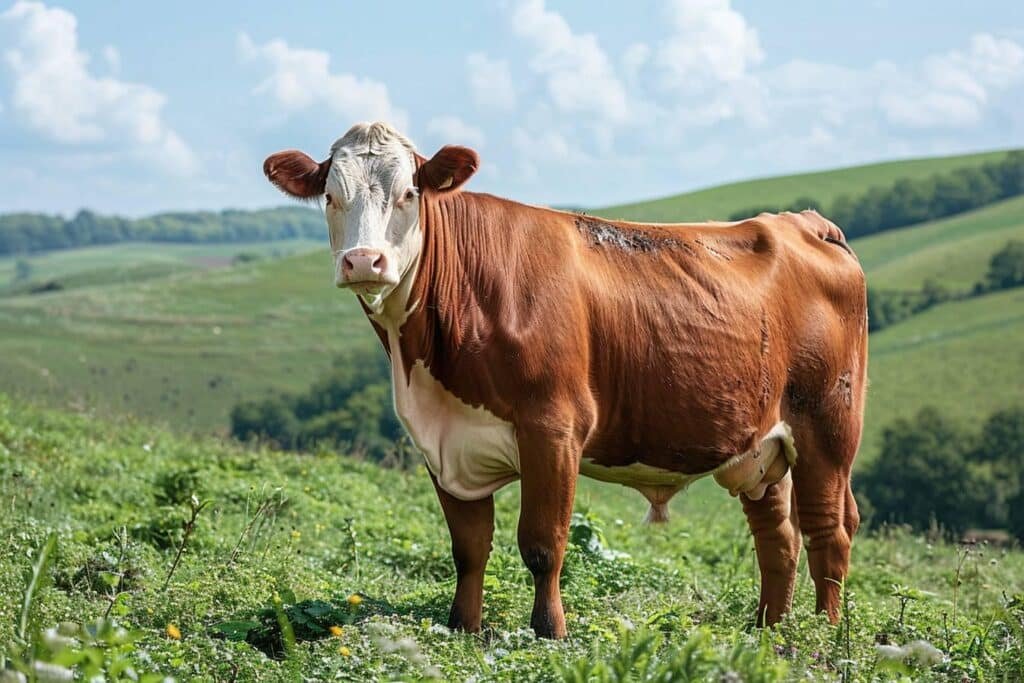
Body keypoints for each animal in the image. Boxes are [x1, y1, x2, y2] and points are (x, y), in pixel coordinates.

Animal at [262, 122, 864, 643]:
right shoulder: (443, 441)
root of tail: (801, 222)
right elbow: (468, 547)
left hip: (828, 427)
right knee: (778, 538)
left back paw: (823, 635)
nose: (364, 261)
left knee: (828, 530)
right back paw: (769, 633)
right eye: (330, 196)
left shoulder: (553, 428)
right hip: (760, 444)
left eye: (409, 192)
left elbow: (542, 543)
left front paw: (550, 632)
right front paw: (464, 629)